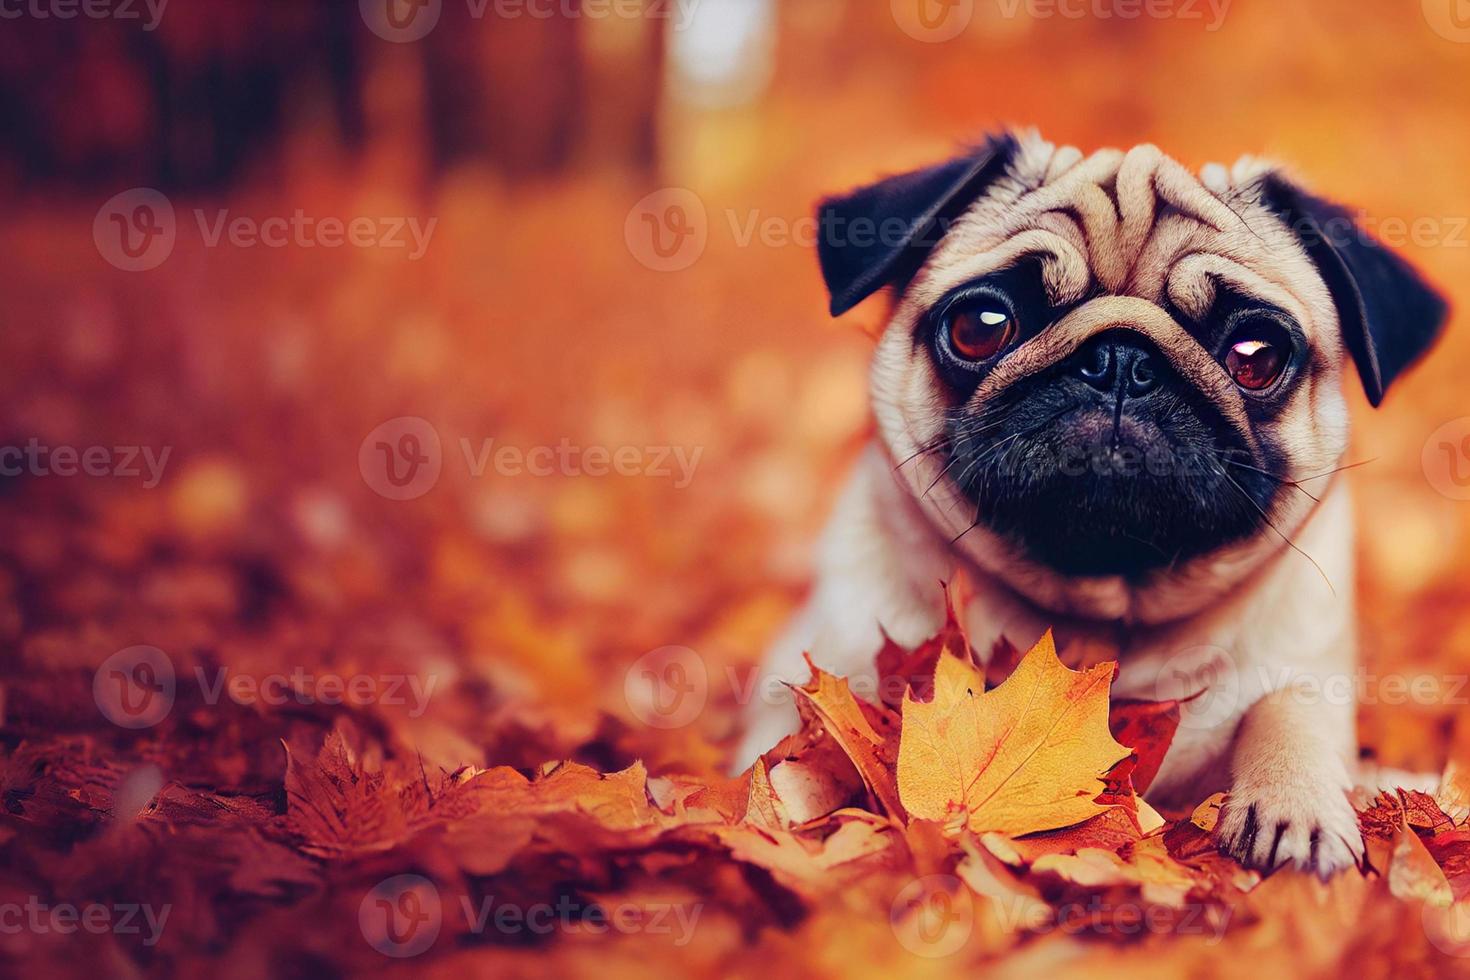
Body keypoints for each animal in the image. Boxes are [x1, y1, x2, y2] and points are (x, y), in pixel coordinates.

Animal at [735, 130, 1446, 875]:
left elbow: (1288, 709)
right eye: (980, 326)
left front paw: (1294, 801)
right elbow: (809, 747)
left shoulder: (1308, 671)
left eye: (1256, 355)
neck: (1102, 625)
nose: (1120, 362)